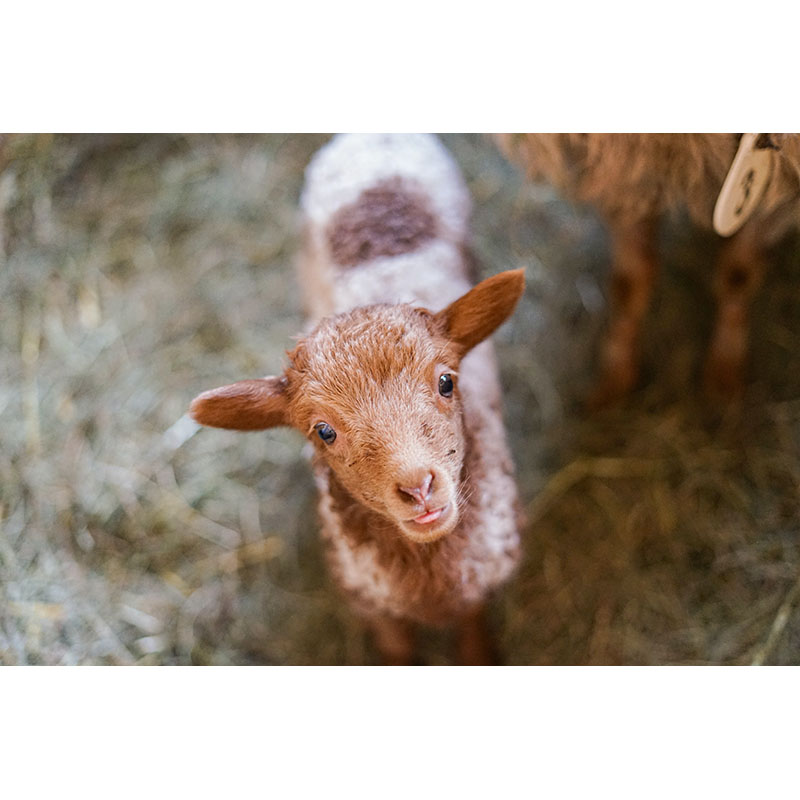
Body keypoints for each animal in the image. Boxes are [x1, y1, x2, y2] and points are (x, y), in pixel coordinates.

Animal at [188, 134, 524, 664]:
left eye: (447, 382)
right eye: (323, 431)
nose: (418, 487)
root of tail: (372, 138)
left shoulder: (477, 582)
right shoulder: (372, 601)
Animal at [494, 134, 800, 406]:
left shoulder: (777, 189)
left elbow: (738, 274)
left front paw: (724, 372)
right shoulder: (626, 173)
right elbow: (630, 282)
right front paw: (615, 378)